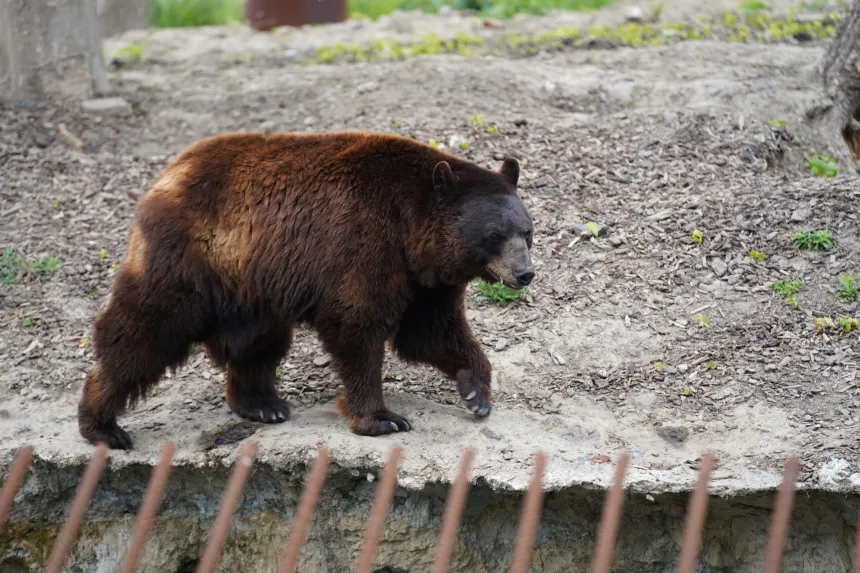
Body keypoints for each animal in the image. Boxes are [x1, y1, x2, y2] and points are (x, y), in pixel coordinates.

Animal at [77, 130, 535, 450]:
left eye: (527, 231)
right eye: (495, 235)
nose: (525, 273)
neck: (412, 232)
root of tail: (168, 172)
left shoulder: (426, 282)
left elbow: (432, 332)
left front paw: (476, 392)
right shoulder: (364, 244)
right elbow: (356, 327)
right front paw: (383, 418)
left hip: (252, 287)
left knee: (257, 342)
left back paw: (262, 404)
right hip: (189, 259)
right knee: (145, 329)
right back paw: (102, 424)